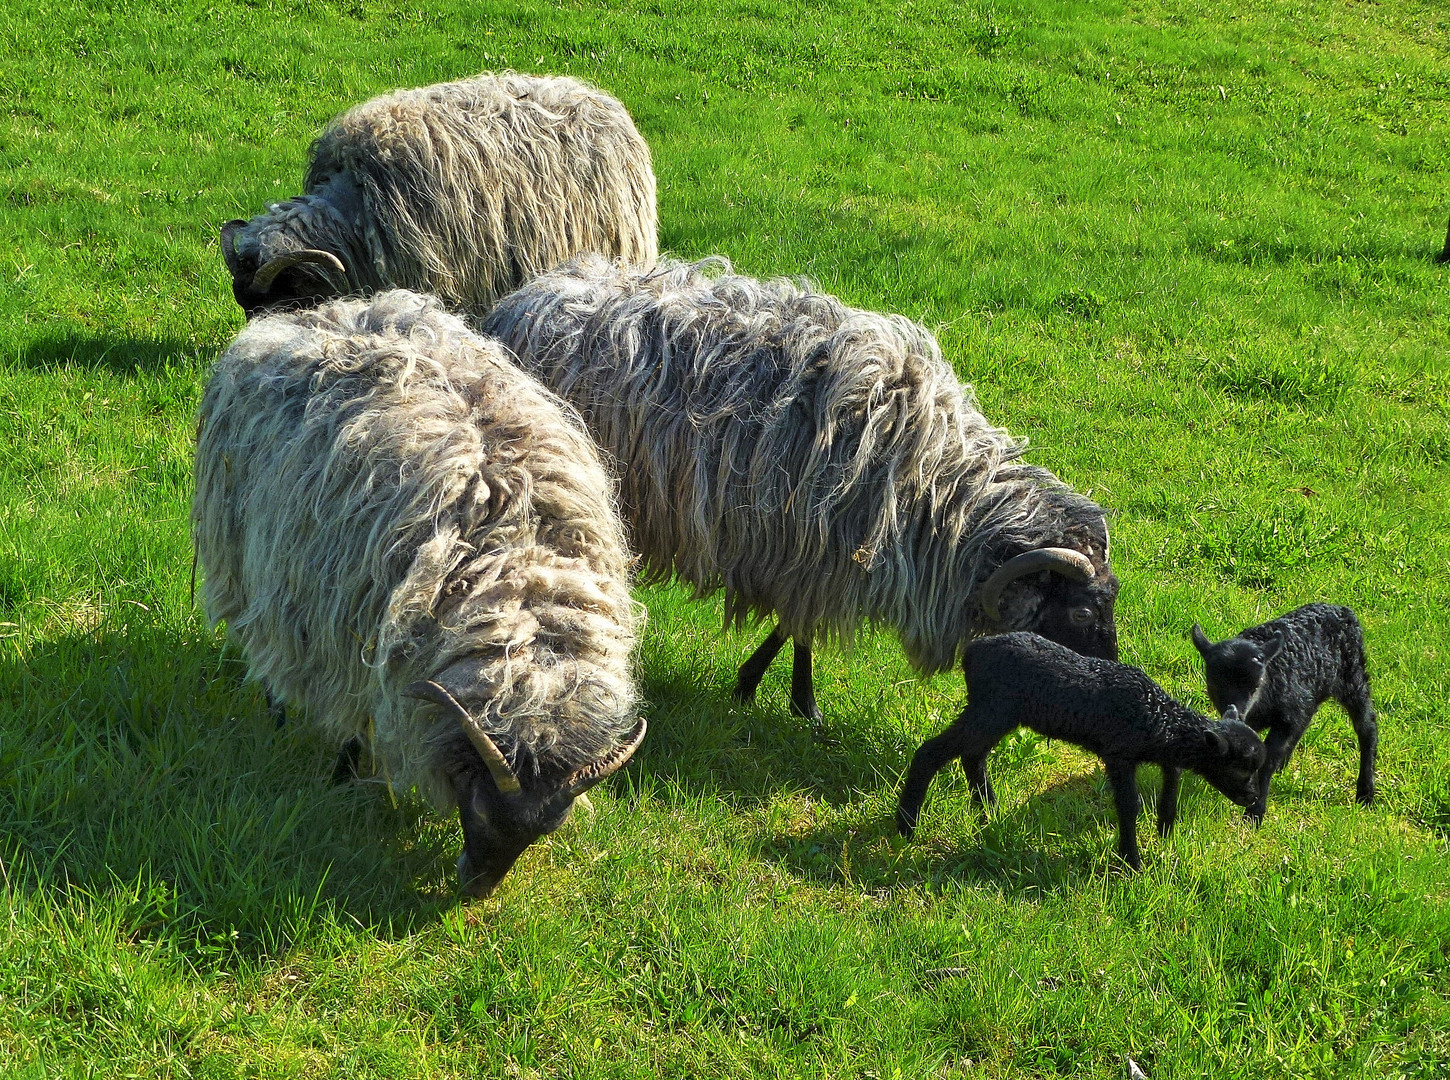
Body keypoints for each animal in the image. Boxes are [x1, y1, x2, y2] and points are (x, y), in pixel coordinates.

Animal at [195, 291, 649, 898]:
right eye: (477, 809)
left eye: (545, 830)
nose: (475, 891)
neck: (517, 587)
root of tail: (327, 310)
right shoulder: (359, 636)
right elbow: (353, 712)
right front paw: (343, 774)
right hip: (250, 557)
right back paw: (277, 711)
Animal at [481, 256, 1113, 719]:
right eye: (1082, 613)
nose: (1110, 676)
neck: (931, 487)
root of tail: (519, 301)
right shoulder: (807, 549)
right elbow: (799, 627)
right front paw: (794, 699)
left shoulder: (808, 555)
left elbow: (792, 626)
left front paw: (765, 688)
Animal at [887, 632, 1264, 869]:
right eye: (1239, 768)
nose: (1251, 798)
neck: (1159, 719)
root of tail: (971, 652)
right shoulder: (1118, 752)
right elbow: (1129, 804)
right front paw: (1132, 862)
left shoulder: (1158, 752)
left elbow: (1171, 783)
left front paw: (1165, 830)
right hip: (992, 707)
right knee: (933, 752)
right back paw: (906, 826)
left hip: (997, 712)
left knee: (972, 755)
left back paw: (988, 813)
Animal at [1194, 603, 1374, 823]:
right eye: (1214, 684)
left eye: (1256, 685)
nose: (1237, 710)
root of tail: (1341, 608)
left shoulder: (1286, 718)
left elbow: (1267, 759)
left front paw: (1255, 813)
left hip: (1353, 677)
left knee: (1367, 726)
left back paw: (1366, 792)